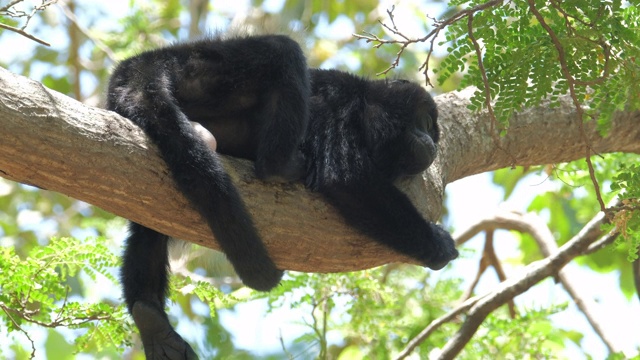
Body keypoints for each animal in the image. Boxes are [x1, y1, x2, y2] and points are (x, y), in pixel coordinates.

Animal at [106, 34, 456, 360]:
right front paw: (438, 246)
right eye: (425, 122)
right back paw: (279, 165)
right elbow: (346, 178)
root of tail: (143, 64)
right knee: (282, 50)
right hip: (201, 72)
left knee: (150, 220)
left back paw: (150, 317)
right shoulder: (341, 103)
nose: (431, 143)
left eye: (432, 130)